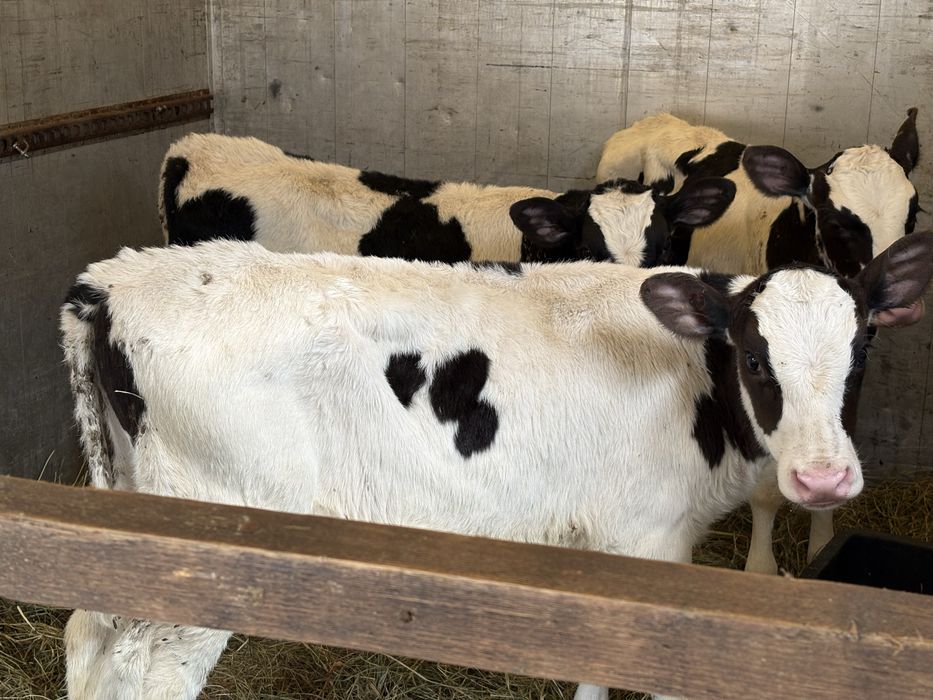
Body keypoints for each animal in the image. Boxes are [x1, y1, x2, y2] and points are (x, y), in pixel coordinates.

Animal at [61, 232, 933, 700]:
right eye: (755, 358)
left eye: (860, 356)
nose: (823, 479)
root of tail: (120, 279)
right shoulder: (650, 541)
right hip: (201, 550)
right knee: (148, 671)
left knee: (87, 638)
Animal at [596, 109, 921, 574]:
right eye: (837, 222)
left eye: (913, 212)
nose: (902, 304)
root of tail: (657, 118)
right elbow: (765, 490)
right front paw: (762, 565)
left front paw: (822, 544)